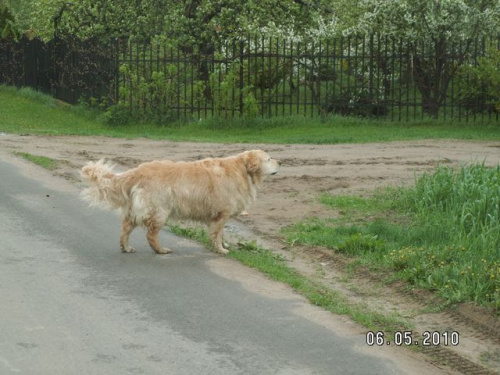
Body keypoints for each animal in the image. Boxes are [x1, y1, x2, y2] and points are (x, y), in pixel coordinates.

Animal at [80, 150, 280, 256]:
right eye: (269, 159)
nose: (280, 163)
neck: (243, 170)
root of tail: (138, 170)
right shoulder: (222, 214)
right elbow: (217, 234)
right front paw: (221, 249)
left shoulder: (220, 215)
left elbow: (221, 233)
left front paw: (224, 245)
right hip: (159, 211)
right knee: (151, 234)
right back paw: (161, 250)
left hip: (139, 211)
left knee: (126, 227)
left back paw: (126, 247)